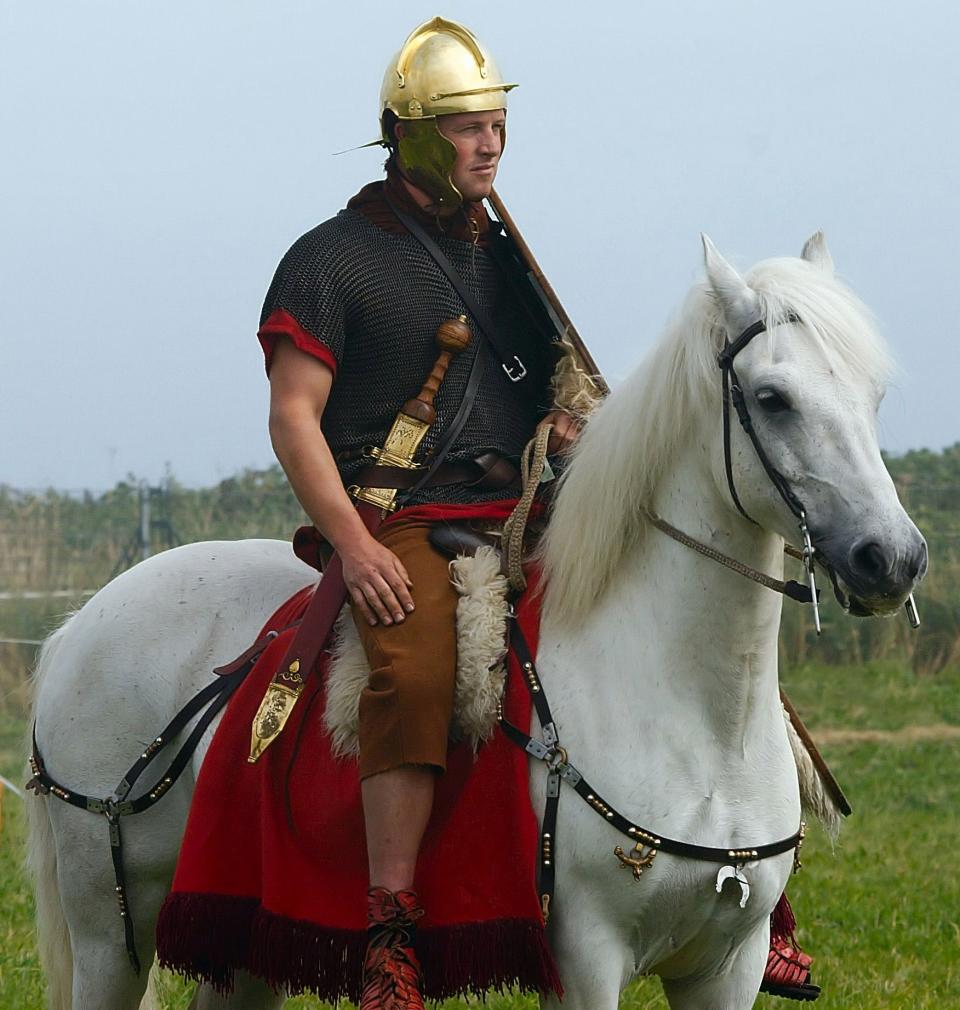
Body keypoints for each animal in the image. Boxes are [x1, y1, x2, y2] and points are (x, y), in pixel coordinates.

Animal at [24, 232, 925, 1005]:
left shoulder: (725, 967)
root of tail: (77, 626)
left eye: (875, 393)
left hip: (239, 937)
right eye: (773, 399)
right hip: (108, 936)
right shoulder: (586, 959)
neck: (697, 720)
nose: (891, 559)